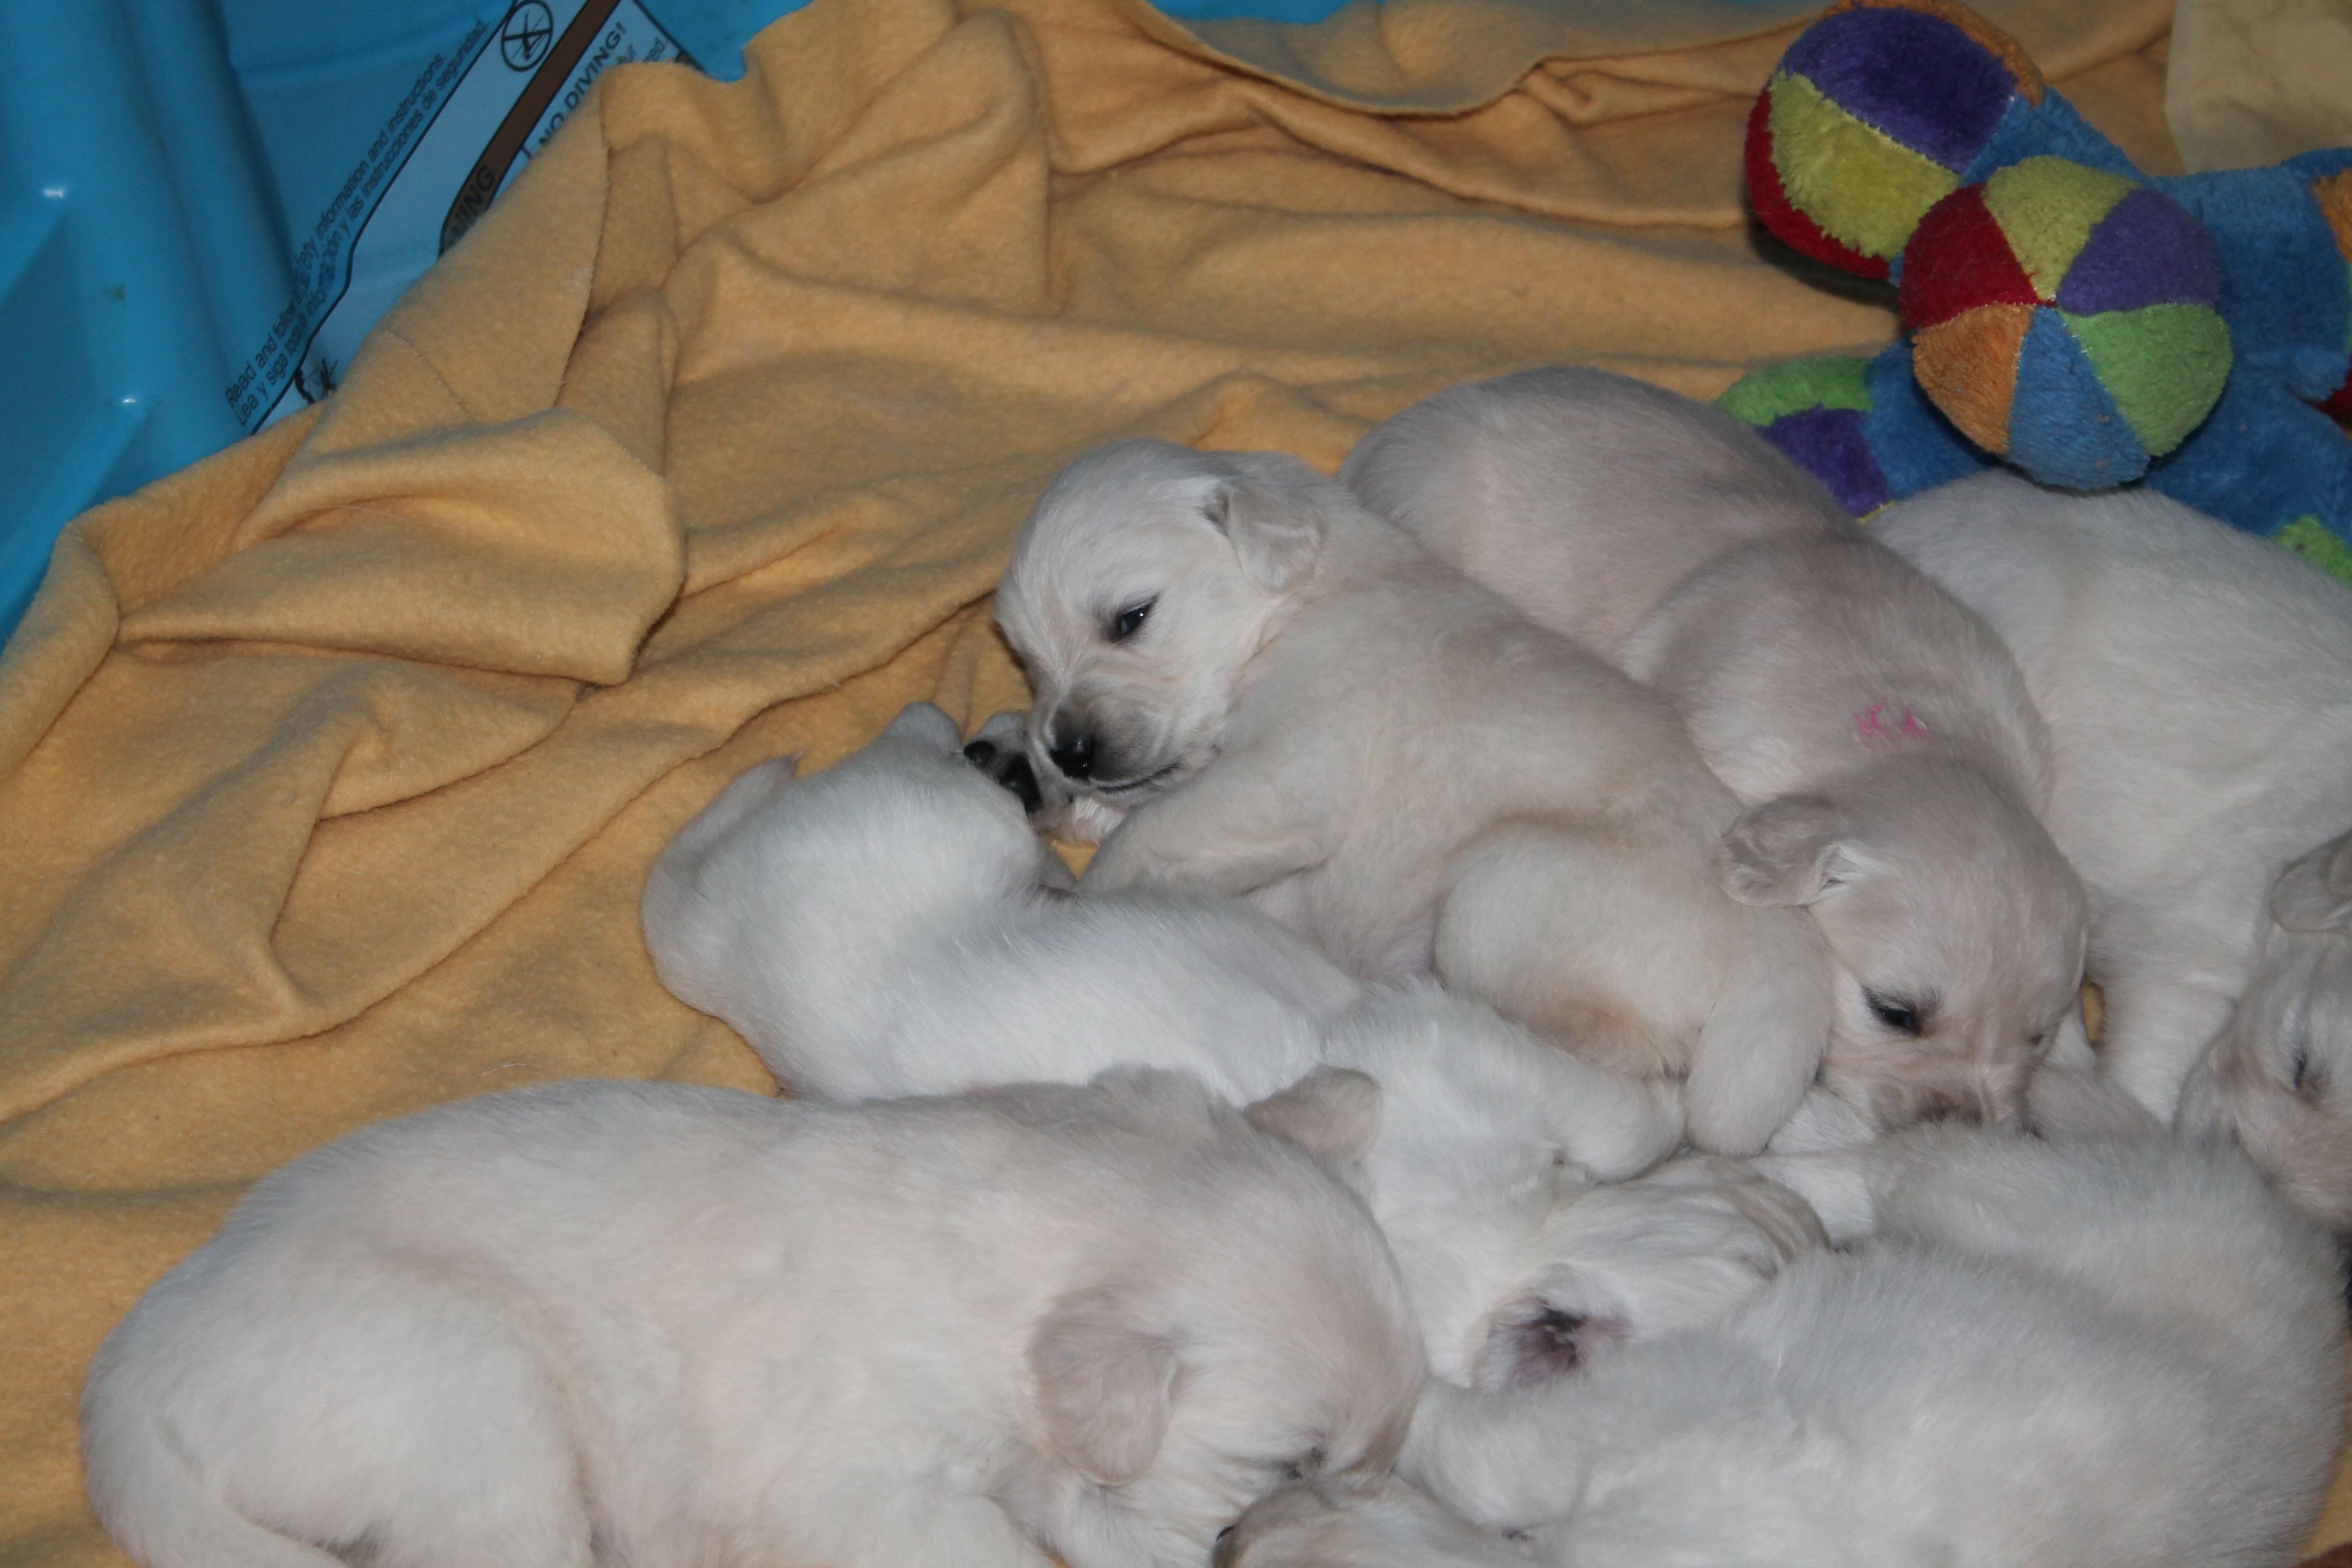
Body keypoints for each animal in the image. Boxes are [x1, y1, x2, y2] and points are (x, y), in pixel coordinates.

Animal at [645, 704, 1796, 1388]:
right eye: (1758, 1264)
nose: (1798, 1229)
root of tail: (719, 950)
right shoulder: (1454, 1043)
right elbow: (1623, 1124)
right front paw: (1669, 1109)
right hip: (933, 817)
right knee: (912, 750)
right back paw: (956, 729)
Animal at [993, 439, 1832, 1156]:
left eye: (1130, 619)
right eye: (1026, 661)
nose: (1070, 750)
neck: (1300, 598)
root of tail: (1787, 960)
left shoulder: (1288, 771)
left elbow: (1147, 837)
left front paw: (1076, 897)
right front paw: (1034, 771)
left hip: (1501, 895)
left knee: (1626, 1053)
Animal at [1222, 1125, 2349, 1568]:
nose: (1225, 1538)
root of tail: (2299, 1244)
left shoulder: (1629, 1422)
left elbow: (1472, 1448)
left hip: (2013, 1197)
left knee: (1880, 1165)